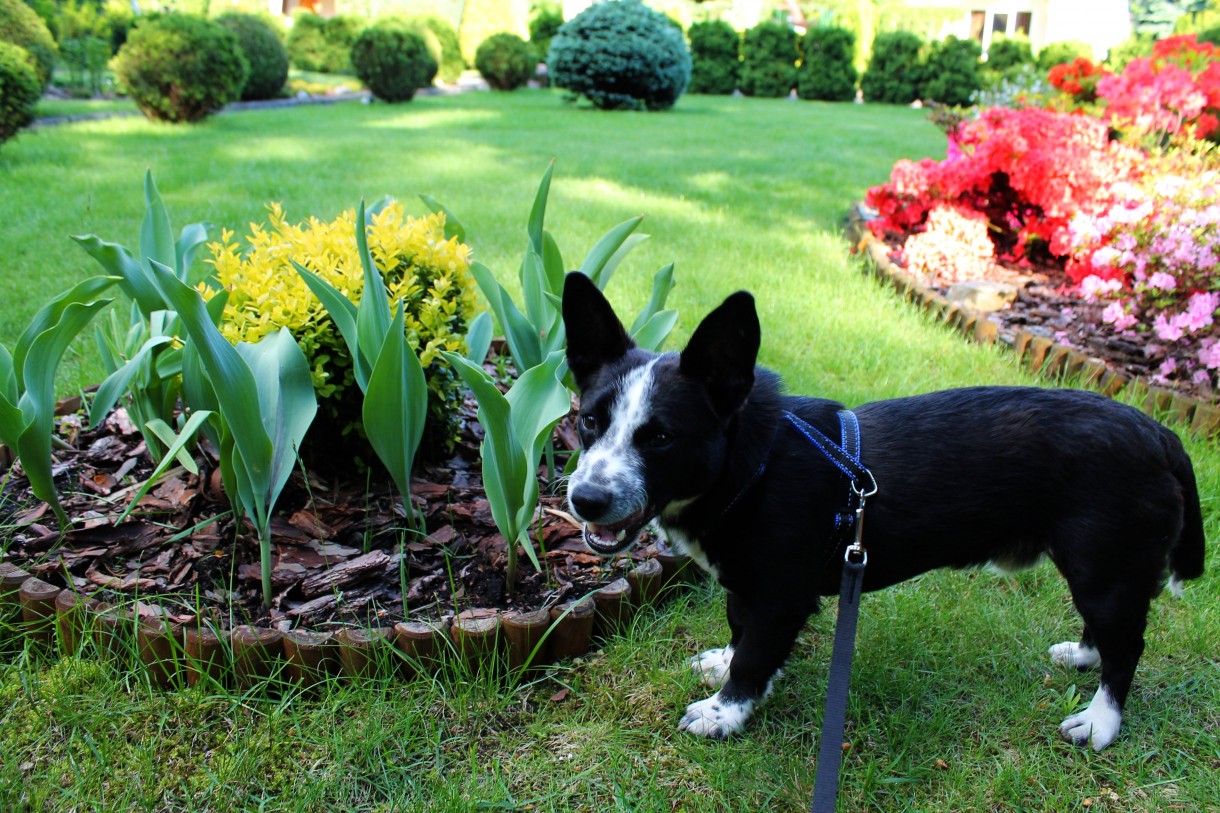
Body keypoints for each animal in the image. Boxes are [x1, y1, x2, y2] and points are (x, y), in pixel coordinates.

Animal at [563, 271, 1210, 747]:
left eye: (661, 438)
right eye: (589, 420)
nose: (584, 500)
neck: (755, 465)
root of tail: (1159, 434)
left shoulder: (781, 597)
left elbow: (754, 655)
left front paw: (726, 712)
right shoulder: (748, 586)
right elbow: (739, 632)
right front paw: (725, 666)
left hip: (1105, 569)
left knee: (1128, 647)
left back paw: (1102, 722)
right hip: (1102, 570)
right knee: (1109, 634)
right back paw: (1081, 656)